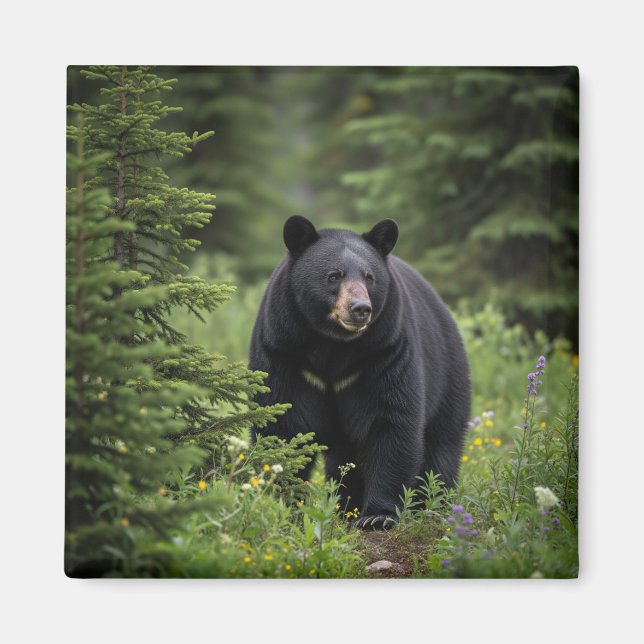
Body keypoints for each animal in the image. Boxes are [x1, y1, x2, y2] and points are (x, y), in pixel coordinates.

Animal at [249, 216, 471, 529]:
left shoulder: (385, 352)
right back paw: (346, 507)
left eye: (369, 277)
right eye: (334, 275)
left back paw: (432, 503)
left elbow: (391, 422)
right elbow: (283, 425)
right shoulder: (283, 352)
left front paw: (377, 515)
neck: (332, 346)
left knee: (442, 447)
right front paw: (283, 505)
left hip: (448, 378)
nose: (361, 308)